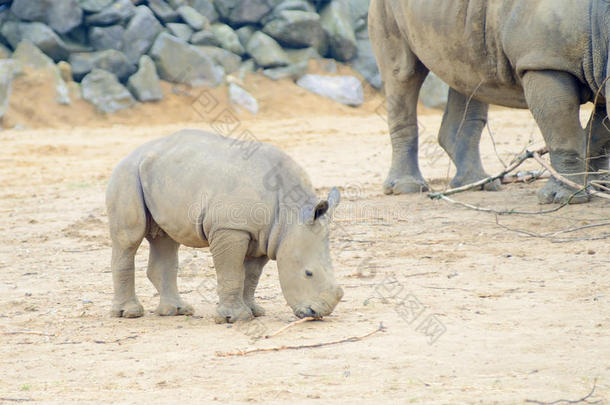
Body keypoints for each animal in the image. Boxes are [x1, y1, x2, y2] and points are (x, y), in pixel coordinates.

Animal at [105, 129, 342, 322]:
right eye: (308, 273)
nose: (318, 313)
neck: (290, 214)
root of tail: (129, 155)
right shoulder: (230, 228)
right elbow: (232, 271)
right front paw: (234, 318)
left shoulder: (267, 235)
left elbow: (251, 276)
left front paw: (254, 312)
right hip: (126, 175)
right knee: (129, 238)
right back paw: (129, 314)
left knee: (166, 240)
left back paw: (177, 311)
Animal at [368, 0, 608, 202]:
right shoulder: (544, 61)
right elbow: (563, 132)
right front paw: (564, 197)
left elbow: (599, 136)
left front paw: (600, 186)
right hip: (385, 6)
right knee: (403, 74)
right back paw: (406, 188)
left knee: (467, 75)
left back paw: (477, 184)